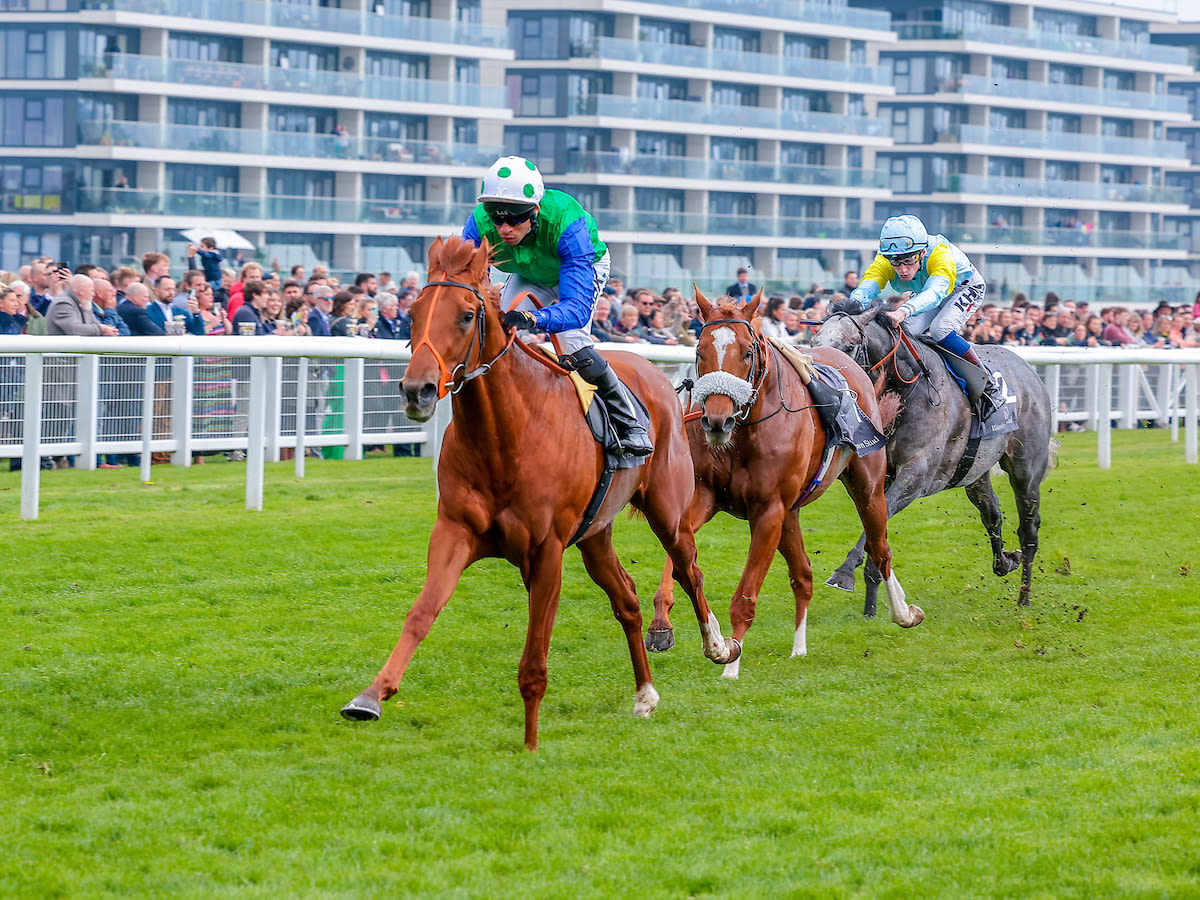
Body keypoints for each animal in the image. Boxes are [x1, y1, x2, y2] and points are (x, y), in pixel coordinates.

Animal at [338, 236, 739, 748]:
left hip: (667, 510)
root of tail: (656, 376)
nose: (417, 390)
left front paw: (529, 745)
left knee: (690, 569)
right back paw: (645, 694)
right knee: (626, 598)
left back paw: (718, 644)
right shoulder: (455, 531)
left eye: (466, 315)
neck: (504, 438)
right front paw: (370, 696)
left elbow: (534, 656)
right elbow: (421, 613)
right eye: (413, 312)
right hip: (595, 534)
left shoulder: (546, 550)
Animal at [648, 292, 916, 681]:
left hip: (867, 487)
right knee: (803, 575)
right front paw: (662, 626)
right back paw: (799, 648)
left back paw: (904, 612)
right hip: (792, 513)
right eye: (700, 351)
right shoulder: (706, 499)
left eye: (747, 352)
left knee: (880, 549)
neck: (745, 432)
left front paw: (731, 663)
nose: (716, 420)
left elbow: (745, 596)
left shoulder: (768, 510)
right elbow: (680, 559)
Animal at [816, 303, 1051, 614]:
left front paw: (844, 574)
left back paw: (1024, 597)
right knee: (992, 514)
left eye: (849, 345)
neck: (902, 391)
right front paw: (870, 610)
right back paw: (1006, 562)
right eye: (815, 341)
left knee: (1029, 529)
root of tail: (1029, 371)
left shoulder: (916, 475)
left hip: (1026, 470)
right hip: (975, 472)